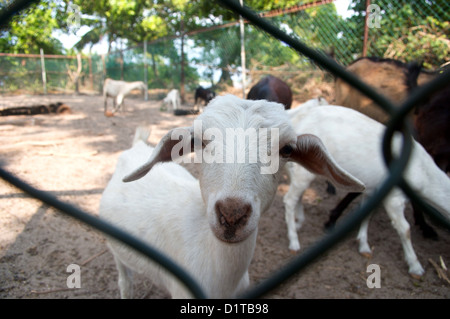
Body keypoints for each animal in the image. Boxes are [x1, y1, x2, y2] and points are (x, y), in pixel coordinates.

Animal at [97, 94, 362, 298]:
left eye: (287, 149)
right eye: (197, 141)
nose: (232, 215)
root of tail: (138, 145)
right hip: (117, 250)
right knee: (125, 281)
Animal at [284, 102, 450, 278]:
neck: (424, 172)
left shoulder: (373, 190)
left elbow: (366, 215)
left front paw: (364, 246)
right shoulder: (394, 197)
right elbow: (405, 229)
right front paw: (415, 267)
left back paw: (299, 221)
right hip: (304, 171)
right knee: (289, 199)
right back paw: (294, 242)